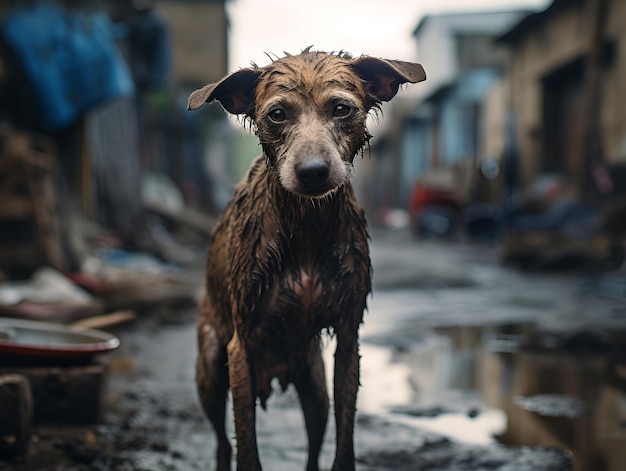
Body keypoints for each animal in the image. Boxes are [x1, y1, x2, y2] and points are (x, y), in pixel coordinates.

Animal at [188, 49, 426, 470]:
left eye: (342, 108)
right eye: (277, 114)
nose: (313, 172)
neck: (307, 225)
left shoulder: (348, 338)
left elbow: (344, 440)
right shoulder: (240, 348)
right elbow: (247, 448)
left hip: (314, 386)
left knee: (314, 442)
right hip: (213, 372)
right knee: (223, 442)